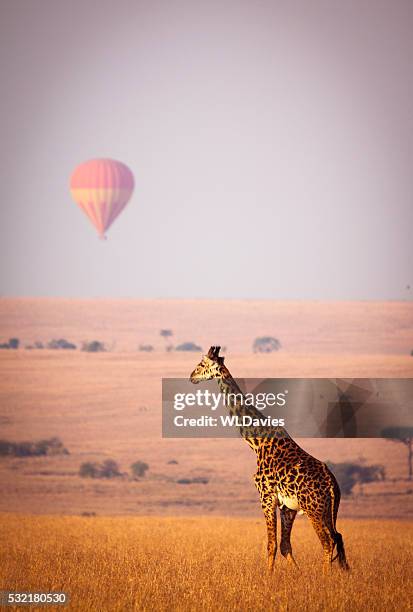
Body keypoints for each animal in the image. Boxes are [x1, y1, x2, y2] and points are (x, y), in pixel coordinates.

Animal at [190, 346, 348, 572]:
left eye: (202, 364)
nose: (191, 376)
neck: (256, 442)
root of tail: (331, 484)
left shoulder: (266, 496)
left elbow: (271, 544)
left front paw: (268, 576)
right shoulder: (287, 506)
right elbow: (284, 545)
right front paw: (297, 574)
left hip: (313, 510)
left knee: (328, 541)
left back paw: (325, 576)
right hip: (328, 509)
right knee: (339, 536)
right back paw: (345, 572)